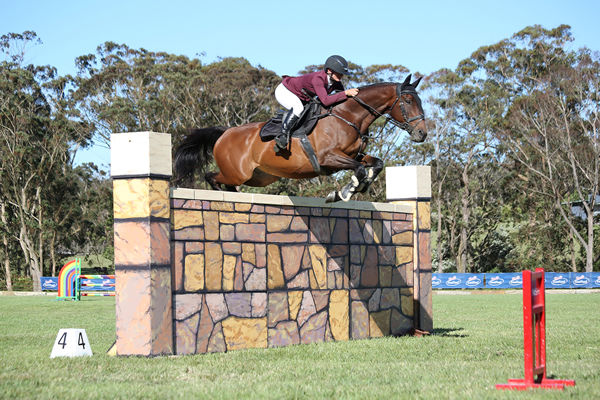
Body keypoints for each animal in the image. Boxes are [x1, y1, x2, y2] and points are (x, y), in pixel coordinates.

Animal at [173, 73, 426, 202]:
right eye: (408, 101)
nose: (422, 134)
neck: (348, 117)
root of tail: (225, 132)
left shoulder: (354, 155)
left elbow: (375, 164)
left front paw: (358, 186)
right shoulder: (328, 158)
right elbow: (360, 169)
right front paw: (343, 192)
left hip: (258, 178)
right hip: (237, 172)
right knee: (211, 176)